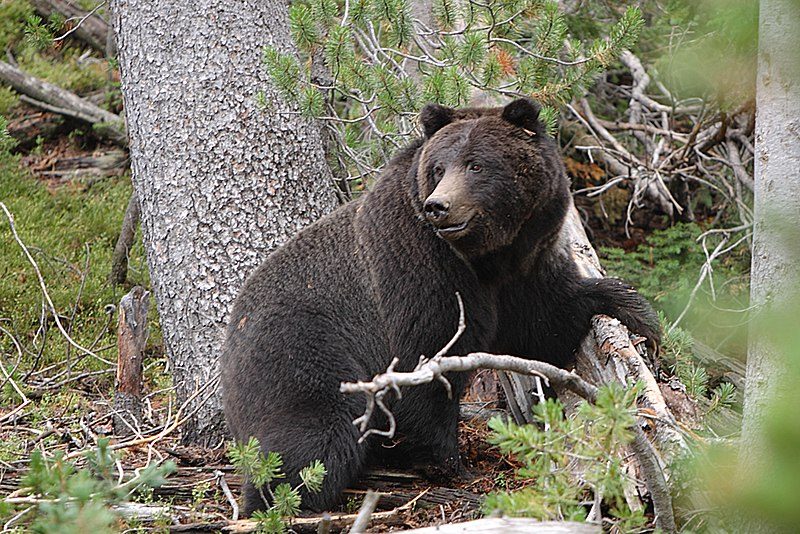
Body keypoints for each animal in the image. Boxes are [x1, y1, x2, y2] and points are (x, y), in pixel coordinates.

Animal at [219, 99, 656, 516]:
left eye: (477, 164)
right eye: (439, 167)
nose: (439, 206)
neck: (486, 258)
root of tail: (228, 344)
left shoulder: (525, 267)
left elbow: (544, 325)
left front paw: (635, 309)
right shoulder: (421, 266)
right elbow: (428, 359)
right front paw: (449, 463)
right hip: (301, 350)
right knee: (316, 434)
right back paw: (279, 500)